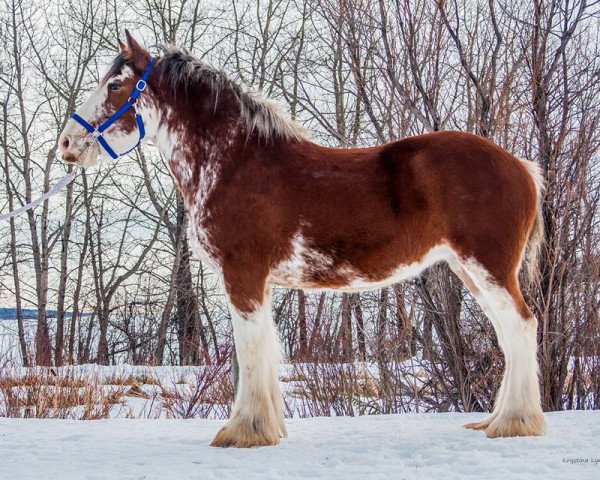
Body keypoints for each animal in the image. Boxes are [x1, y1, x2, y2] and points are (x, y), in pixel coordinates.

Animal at [58, 31, 548, 448]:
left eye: (115, 83)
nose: (66, 143)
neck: (235, 162)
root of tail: (522, 166)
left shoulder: (243, 273)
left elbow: (250, 350)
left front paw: (244, 431)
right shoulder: (260, 281)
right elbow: (266, 348)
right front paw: (268, 426)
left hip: (488, 268)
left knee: (522, 327)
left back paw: (514, 422)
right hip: (471, 272)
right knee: (509, 333)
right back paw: (498, 419)